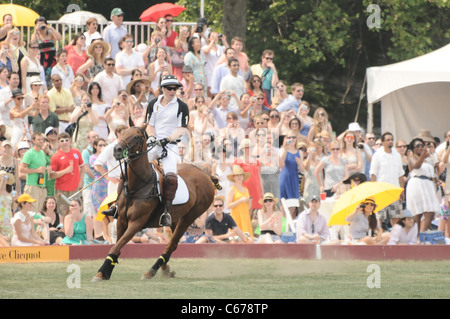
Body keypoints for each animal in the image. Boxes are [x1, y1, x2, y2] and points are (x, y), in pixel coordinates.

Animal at [91, 124, 218, 282]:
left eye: (137, 136)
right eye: (123, 133)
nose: (117, 150)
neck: (137, 186)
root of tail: (206, 175)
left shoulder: (136, 222)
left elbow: (116, 246)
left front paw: (101, 272)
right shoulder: (121, 220)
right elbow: (117, 245)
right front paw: (105, 272)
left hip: (190, 216)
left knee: (172, 244)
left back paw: (151, 271)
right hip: (176, 219)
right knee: (173, 243)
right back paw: (164, 268)